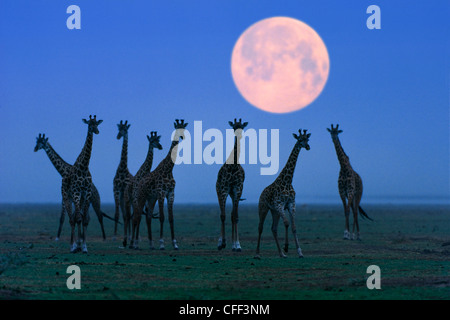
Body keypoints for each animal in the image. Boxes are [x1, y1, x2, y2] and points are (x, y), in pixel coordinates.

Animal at [61, 115, 103, 252]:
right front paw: (77, 245)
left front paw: (84, 246)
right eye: (89, 124)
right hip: (67, 197)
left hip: (78, 197)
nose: (96, 131)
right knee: (71, 219)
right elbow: (78, 218)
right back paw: (72, 246)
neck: (84, 167)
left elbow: (84, 218)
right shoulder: (76, 192)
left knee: (76, 216)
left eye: (97, 124)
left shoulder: (87, 192)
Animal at [128, 119, 188, 250]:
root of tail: (140, 182)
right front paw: (161, 244)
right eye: (177, 128)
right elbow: (162, 217)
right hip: (141, 197)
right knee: (137, 216)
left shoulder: (171, 193)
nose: (182, 136)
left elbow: (171, 218)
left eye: (184, 128)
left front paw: (175, 244)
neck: (169, 169)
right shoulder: (161, 192)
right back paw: (134, 244)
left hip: (151, 199)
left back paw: (150, 244)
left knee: (148, 216)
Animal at [255, 129, 312, 258]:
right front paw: (286, 247)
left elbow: (294, 227)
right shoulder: (279, 204)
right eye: (299, 139)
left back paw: (281, 254)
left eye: (307, 139)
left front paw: (299, 252)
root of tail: (262, 192)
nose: (307, 146)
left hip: (274, 211)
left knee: (274, 228)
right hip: (263, 207)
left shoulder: (291, 204)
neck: (288, 180)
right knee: (260, 227)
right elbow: (286, 223)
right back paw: (257, 253)